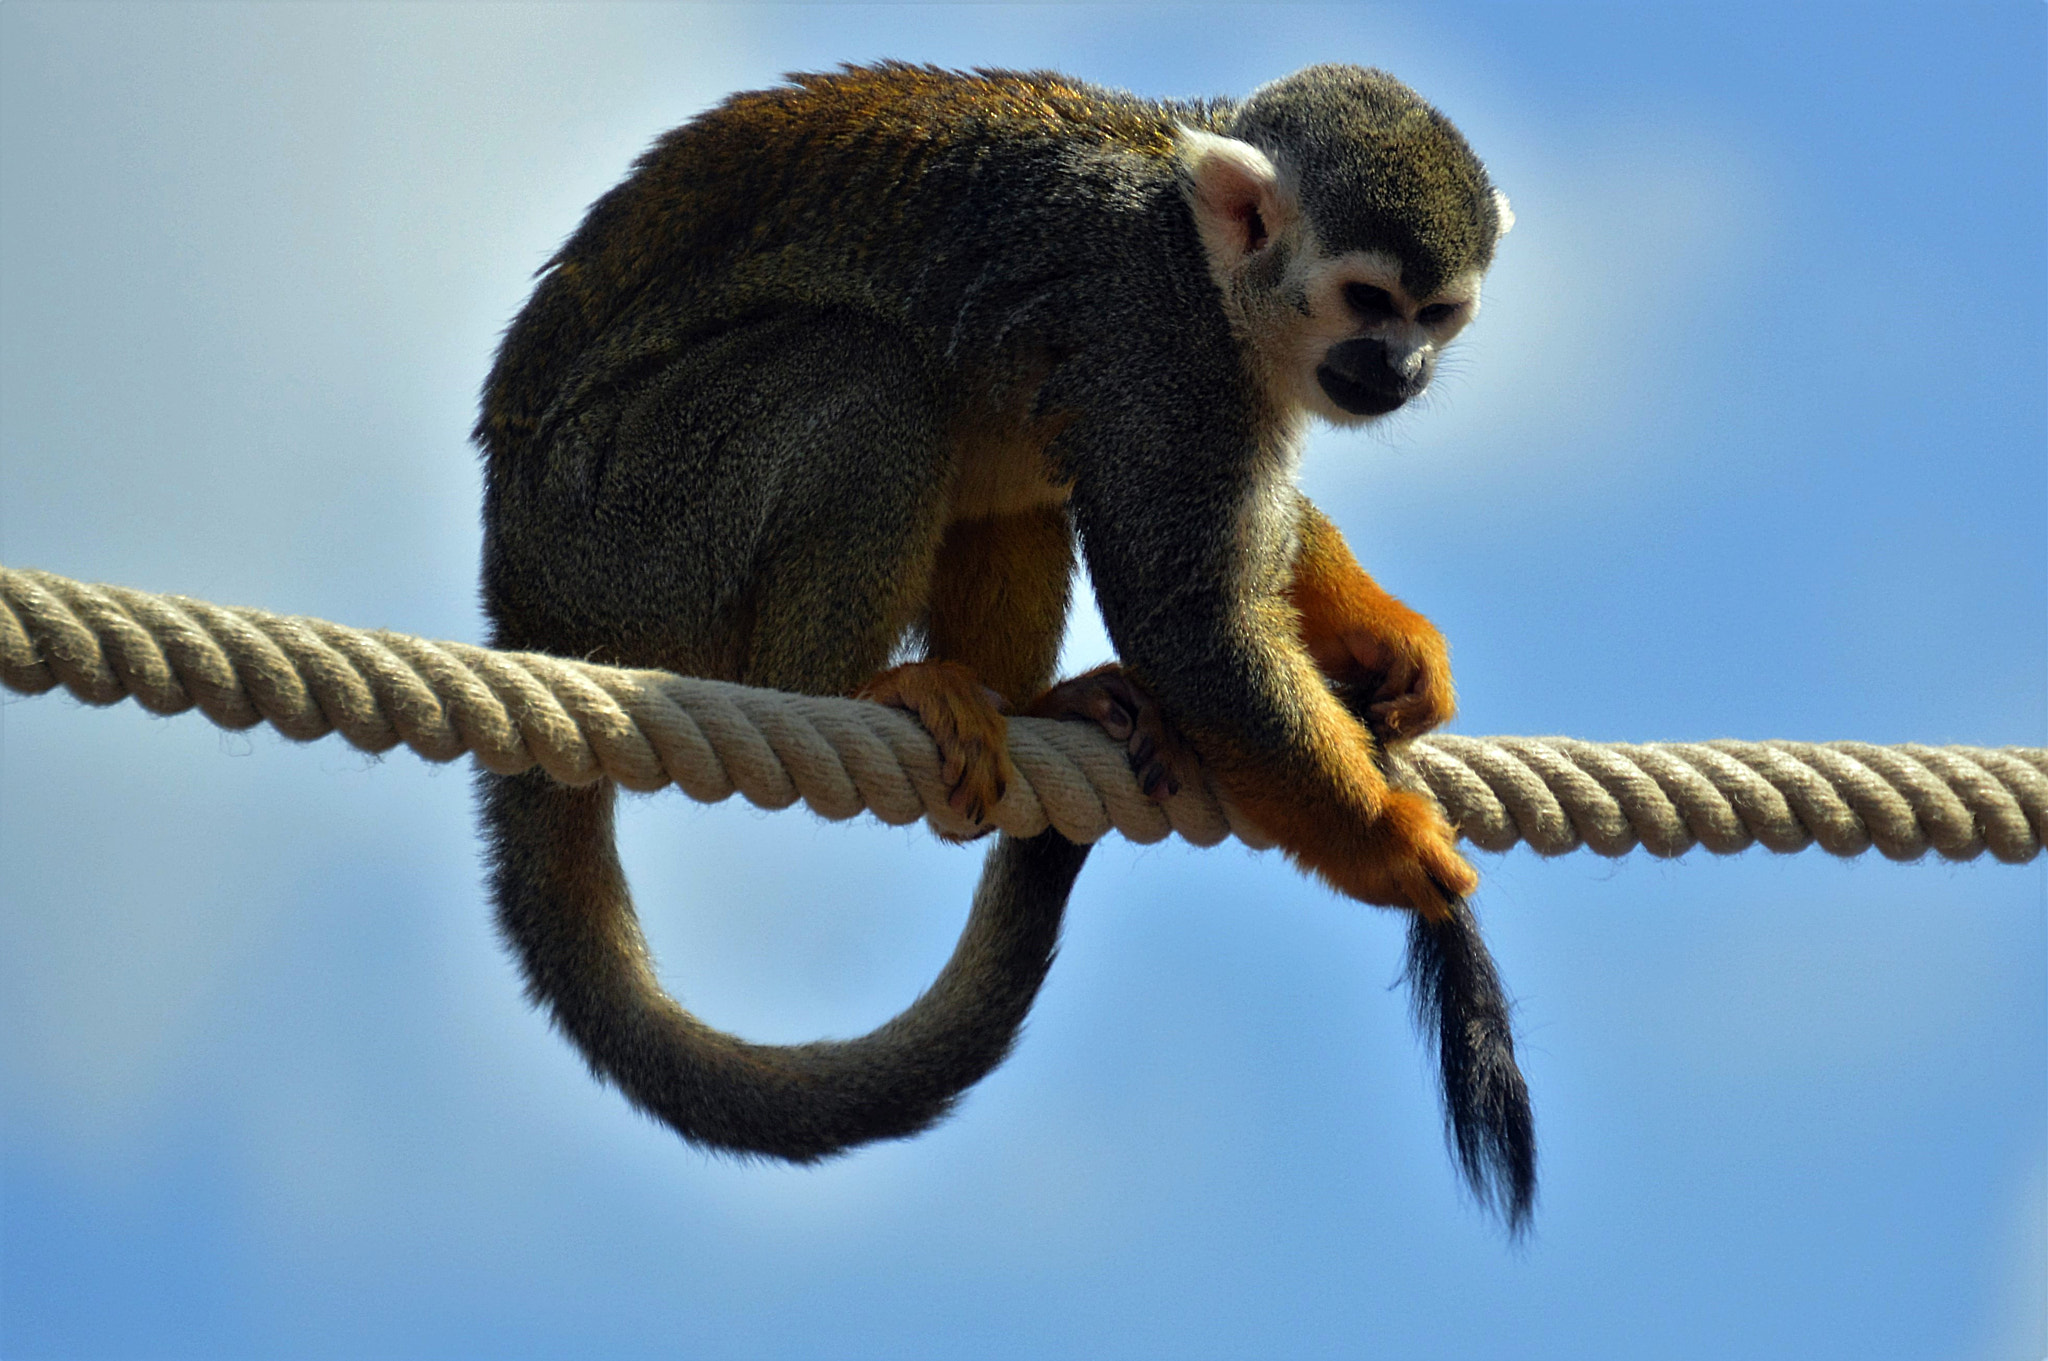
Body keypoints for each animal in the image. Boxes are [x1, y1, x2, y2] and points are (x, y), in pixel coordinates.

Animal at [475, 62, 1532, 1228]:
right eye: (1367, 301)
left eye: (1436, 314)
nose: (1400, 369)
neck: (1202, 260)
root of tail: (514, 592)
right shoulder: (1159, 342)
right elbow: (1188, 615)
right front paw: (1385, 840)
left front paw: (1384, 635)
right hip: (628, 526)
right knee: (868, 372)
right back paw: (852, 683)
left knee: (1011, 448)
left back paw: (1029, 703)